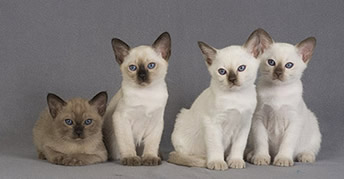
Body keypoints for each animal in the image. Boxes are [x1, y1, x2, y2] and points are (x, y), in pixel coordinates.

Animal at [103, 32, 171, 166]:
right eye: (133, 68)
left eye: (151, 66)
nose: (142, 75)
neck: (147, 94)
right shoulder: (121, 118)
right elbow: (127, 142)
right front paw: (131, 158)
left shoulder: (156, 122)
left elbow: (151, 144)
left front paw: (150, 158)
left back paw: (157, 156)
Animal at [167, 28, 272, 170]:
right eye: (222, 72)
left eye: (241, 68)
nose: (232, 79)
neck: (236, 97)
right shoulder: (213, 124)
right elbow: (216, 146)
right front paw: (217, 163)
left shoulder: (244, 125)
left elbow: (238, 146)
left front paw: (235, 161)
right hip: (182, 119)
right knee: (187, 156)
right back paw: (205, 160)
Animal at [245, 31, 322, 166]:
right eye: (271, 62)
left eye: (289, 65)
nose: (278, 72)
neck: (278, 91)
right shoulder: (258, 119)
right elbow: (261, 142)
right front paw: (261, 158)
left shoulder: (294, 121)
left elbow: (287, 143)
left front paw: (283, 160)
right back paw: (251, 155)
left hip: (313, 125)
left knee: (309, 149)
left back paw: (305, 156)